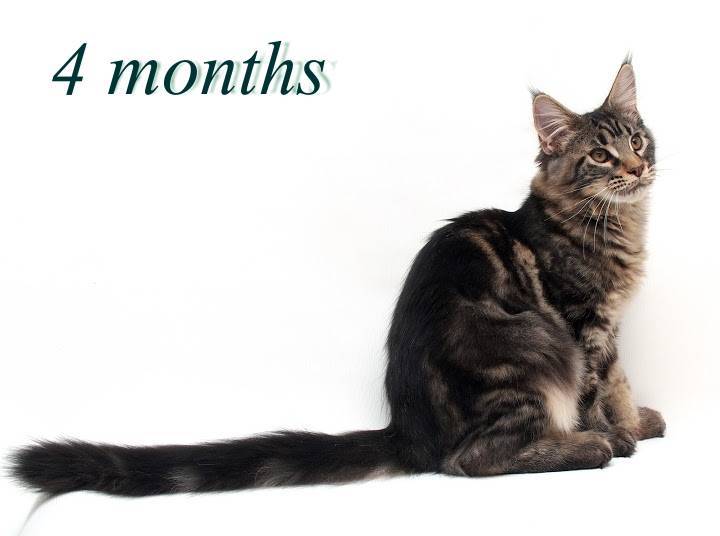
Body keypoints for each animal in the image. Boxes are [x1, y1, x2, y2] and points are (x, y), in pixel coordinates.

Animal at [12, 60, 665, 495]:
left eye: (637, 140)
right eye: (600, 157)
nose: (637, 167)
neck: (613, 224)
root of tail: (409, 431)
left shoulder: (609, 327)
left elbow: (620, 382)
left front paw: (638, 421)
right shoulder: (583, 324)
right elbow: (599, 389)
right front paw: (619, 435)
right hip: (532, 347)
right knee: (469, 461)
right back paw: (584, 448)